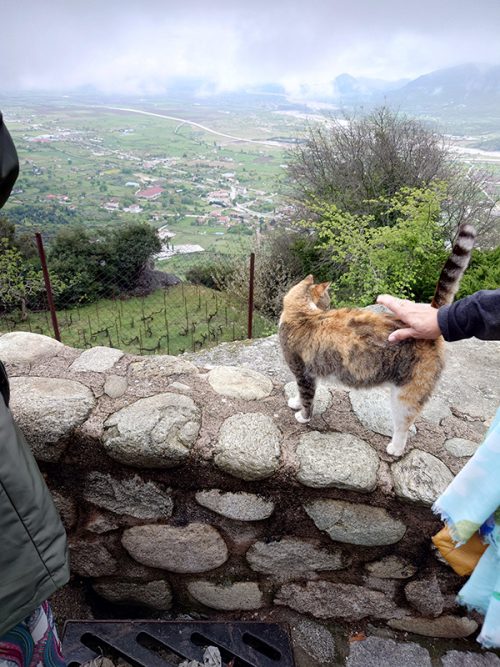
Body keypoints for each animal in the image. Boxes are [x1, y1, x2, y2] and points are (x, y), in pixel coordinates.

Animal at [280, 223, 474, 454]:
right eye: (328, 300)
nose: (330, 306)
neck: (301, 313)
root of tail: (432, 315)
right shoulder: (310, 372)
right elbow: (302, 394)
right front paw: (295, 402)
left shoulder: (303, 372)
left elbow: (307, 397)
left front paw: (303, 416)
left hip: (406, 395)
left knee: (404, 425)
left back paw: (395, 448)